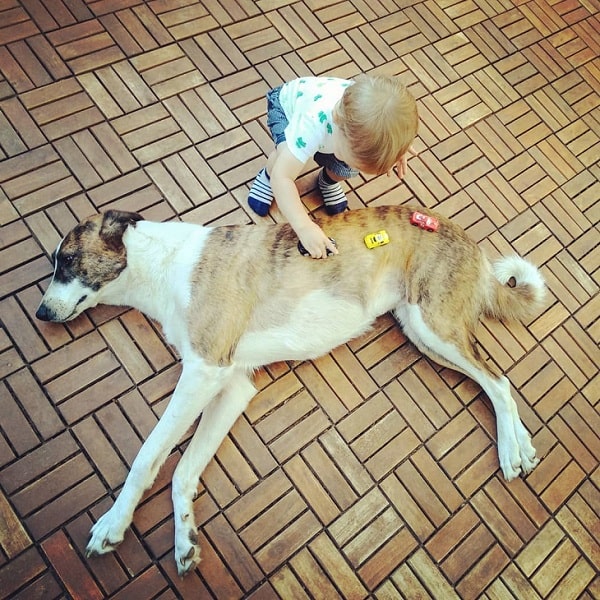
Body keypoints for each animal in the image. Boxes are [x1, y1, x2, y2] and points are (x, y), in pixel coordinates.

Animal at [35, 205, 548, 572]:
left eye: (68, 260)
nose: (39, 313)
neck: (165, 265)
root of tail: (472, 244)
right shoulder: (231, 384)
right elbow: (183, 470)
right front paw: (184, 540)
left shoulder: (203, 371)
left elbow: (148, 456)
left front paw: (113, 524)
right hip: (421, 332)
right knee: (496, 382)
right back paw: (522, 445)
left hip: (433, 324)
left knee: (499, 380)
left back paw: (511, 451)